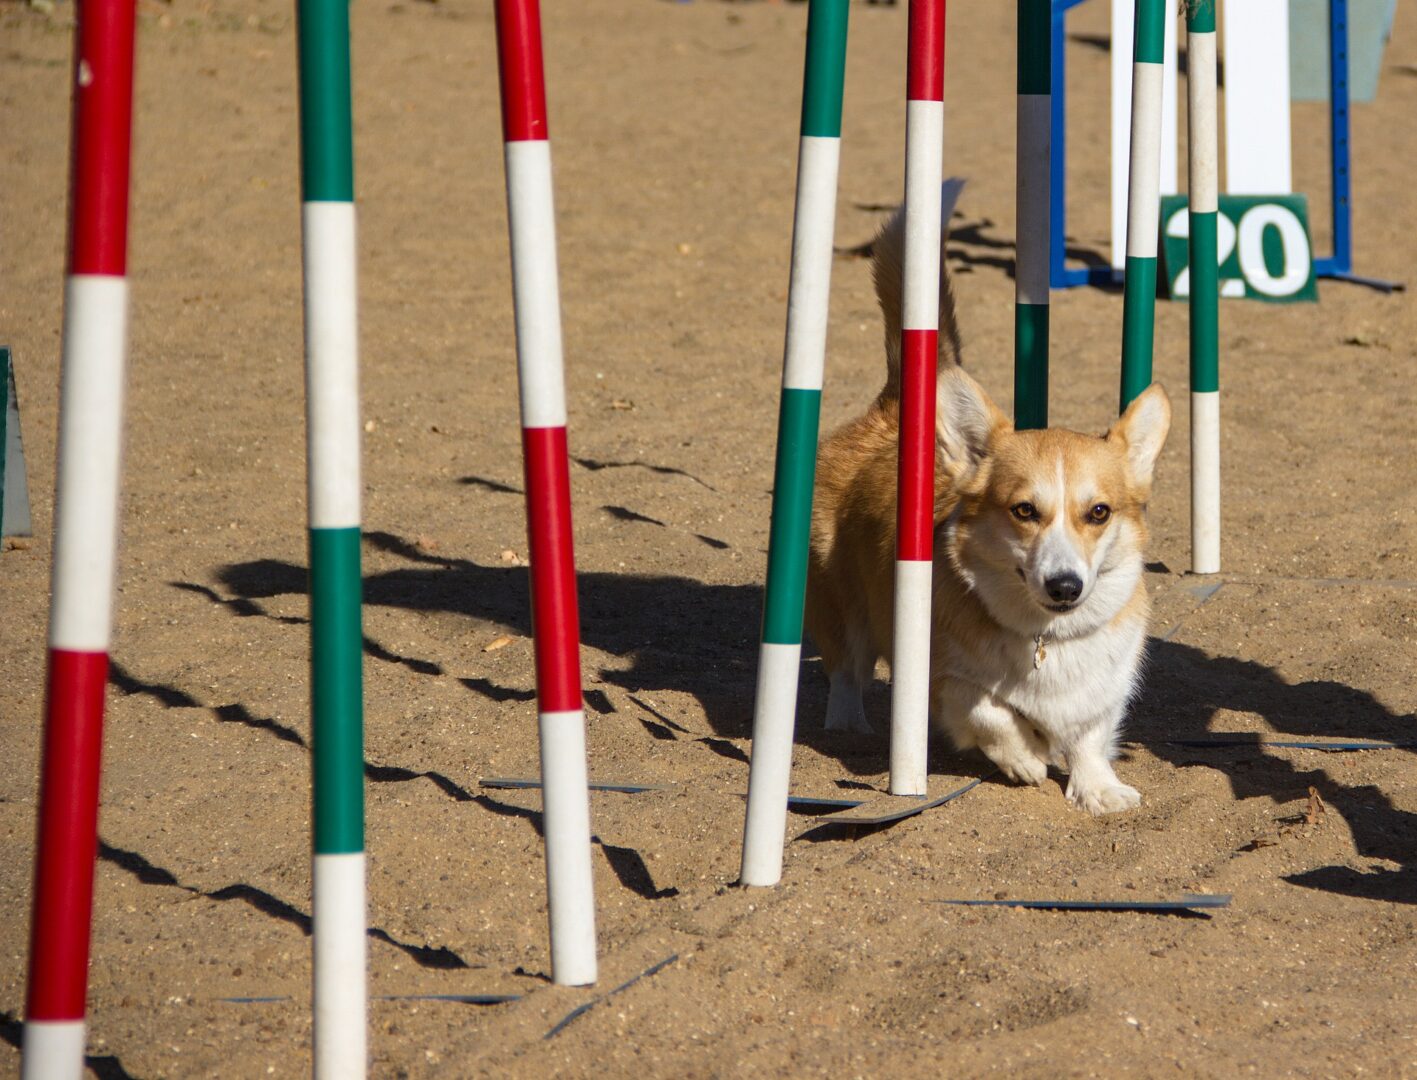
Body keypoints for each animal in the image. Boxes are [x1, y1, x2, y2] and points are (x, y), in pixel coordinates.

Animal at [804, 195, 1167, 816]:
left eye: (1098, 512)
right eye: (1024, 511)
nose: (1065, 586)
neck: (1047, 637)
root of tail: (892, 409)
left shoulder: (1103, 690)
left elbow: (1091, 735)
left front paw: (1098, 790)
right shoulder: (943, 679)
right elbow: (988, 710)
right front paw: (1025, 756)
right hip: (842, 603)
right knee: (847, 669)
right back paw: (848, 725)